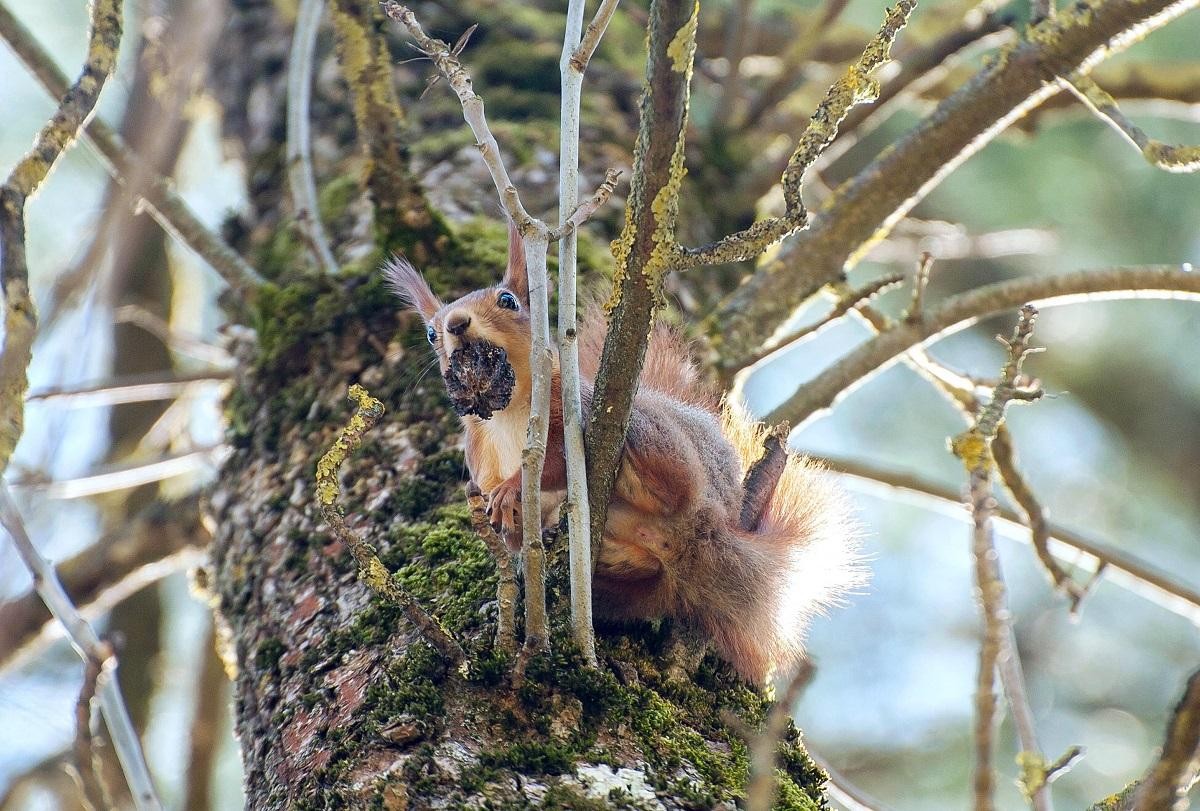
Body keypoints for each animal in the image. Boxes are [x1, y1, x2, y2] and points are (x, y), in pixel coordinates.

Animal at [383, 222, 861, 684]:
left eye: (508, 301)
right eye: (430, 332)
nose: (456, 324)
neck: (507, 410)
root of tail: (706, 533)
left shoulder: (568, 406)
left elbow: (557, 464)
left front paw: (513, 490)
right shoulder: (479, 454)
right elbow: (506, 517)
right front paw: (507, 518)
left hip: (670, 450)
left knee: (669, 483)